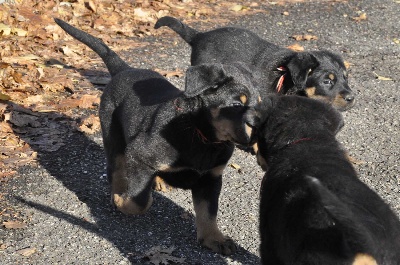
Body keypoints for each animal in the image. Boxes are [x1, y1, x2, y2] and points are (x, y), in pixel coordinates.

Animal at [54, 18, 260, 254]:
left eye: (260, 103)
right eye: (236, 104)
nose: (261, 127)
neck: (200, 135)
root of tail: (125, 70)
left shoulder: (211, 177)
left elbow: (208, 212)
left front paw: (214, 239)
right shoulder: (139, 157)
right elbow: (140, 200)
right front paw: (121, 201)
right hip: (113, 136)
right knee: (116, 169)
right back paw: (119, 192)